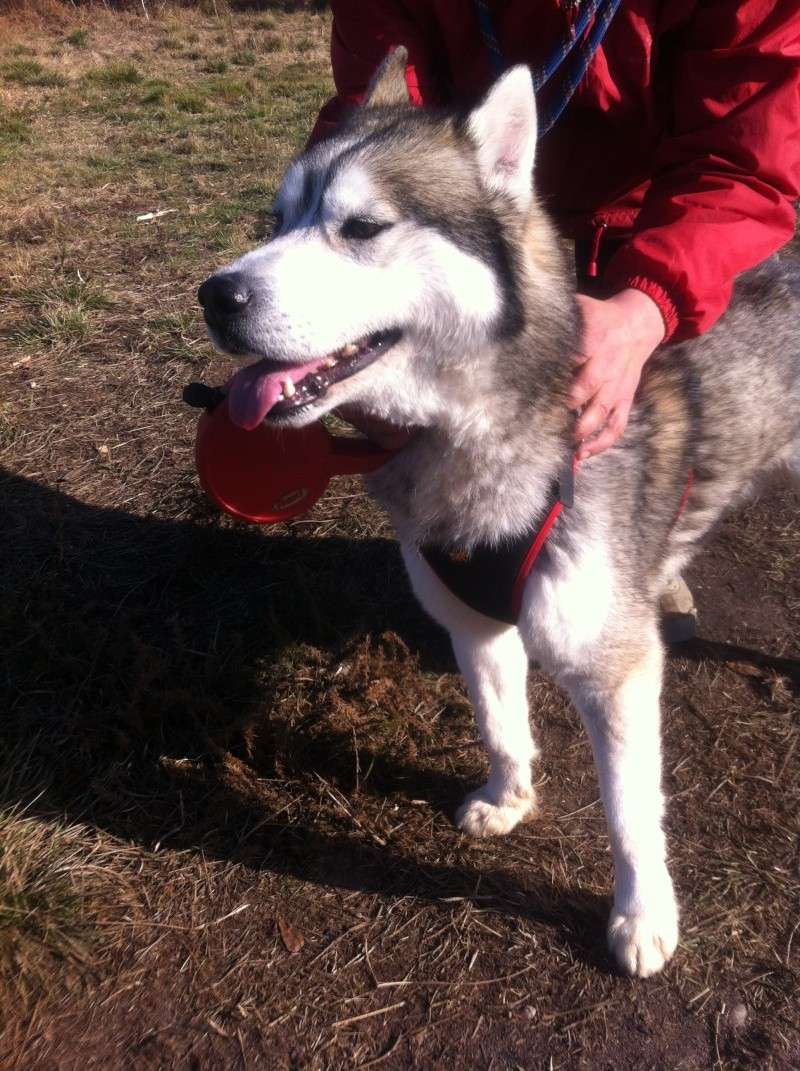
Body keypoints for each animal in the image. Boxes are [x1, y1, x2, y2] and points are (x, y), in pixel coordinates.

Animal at [199, 52, 800, 981]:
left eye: (362, 227)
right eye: (278, 218)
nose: (215, 295)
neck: (475, 435)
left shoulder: (617, 667)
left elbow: (631, 809)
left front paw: (642, 914)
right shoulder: (473, 620)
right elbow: (498, 719)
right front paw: (510, 797)